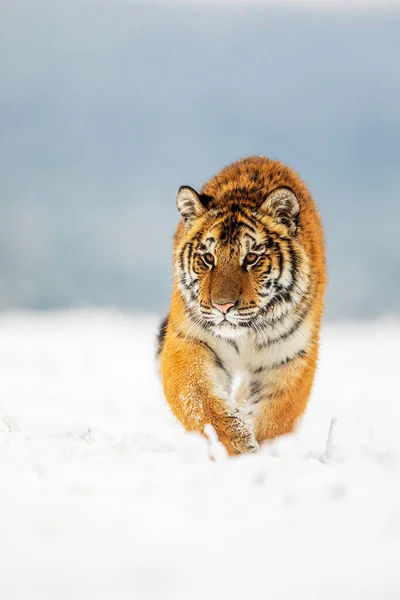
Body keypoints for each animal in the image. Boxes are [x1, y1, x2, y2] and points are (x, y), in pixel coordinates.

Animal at [158, 155, 326, 454]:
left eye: (251, 258)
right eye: (208, 258)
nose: (223, 307)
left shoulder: (289, 357)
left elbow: (275, 418)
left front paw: (260, 453)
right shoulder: (189, 340)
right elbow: (200, 401)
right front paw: (236, 446)